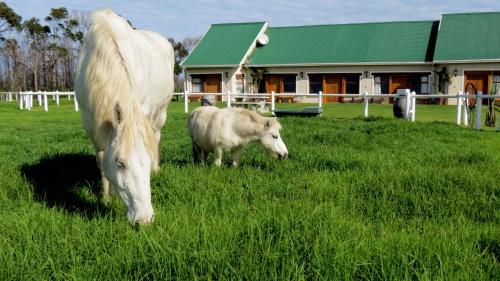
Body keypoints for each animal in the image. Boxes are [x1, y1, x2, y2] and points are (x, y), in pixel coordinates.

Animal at [74, 8, 174, 223]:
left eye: (146, 161)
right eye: (120, 163)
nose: (145, 219)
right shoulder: (91, 123)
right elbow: (101, 158)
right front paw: (106, 196)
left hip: (160, 113)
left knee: (156, 135)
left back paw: (157, 169)